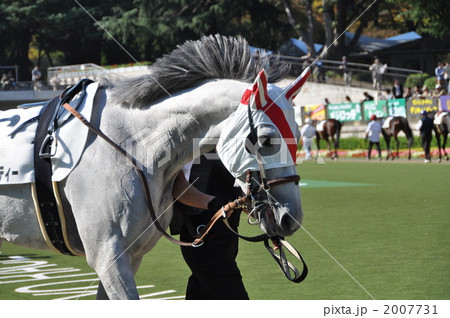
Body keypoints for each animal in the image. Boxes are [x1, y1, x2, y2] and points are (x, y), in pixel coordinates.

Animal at [0, 34, 310, 298]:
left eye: (297, 133)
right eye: (267, 139)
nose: (290, 218)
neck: (131, 144)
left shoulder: (130, 257)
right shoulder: (108, 257)